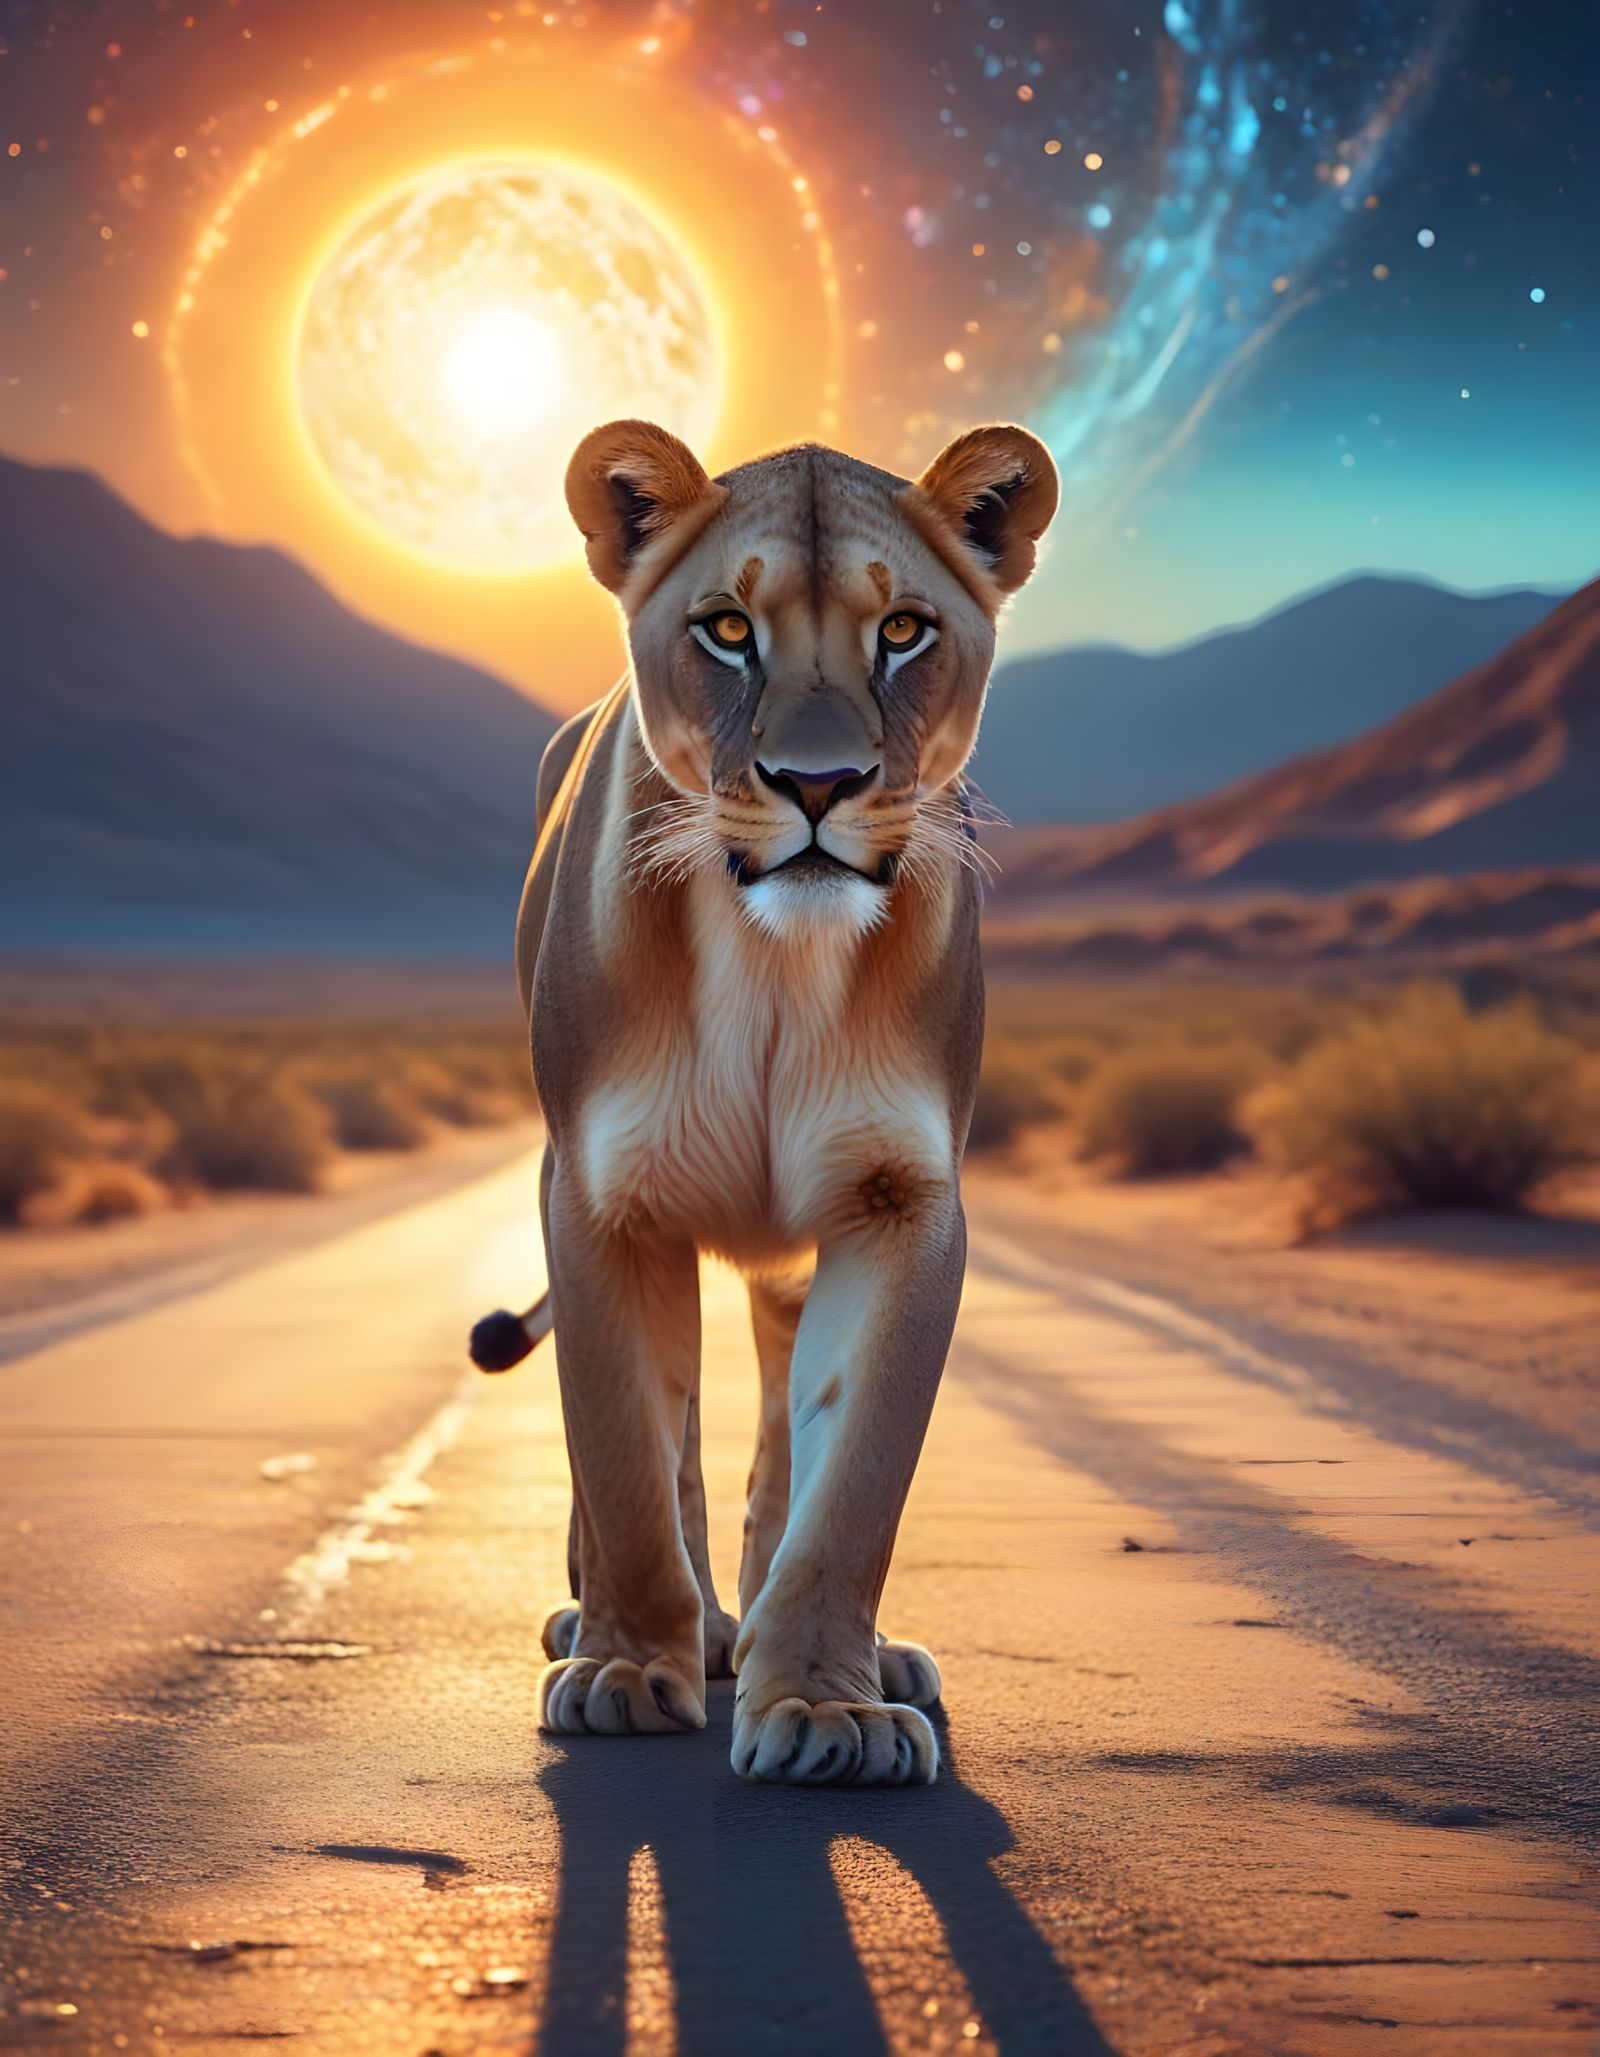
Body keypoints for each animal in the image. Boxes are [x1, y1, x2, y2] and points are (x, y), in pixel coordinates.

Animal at [469, 418, 1058, 1784]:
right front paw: (629, 1668)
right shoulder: (597, 1192)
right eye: (728, 629)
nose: (819, 782)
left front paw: (828, 1706)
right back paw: (649, 1628)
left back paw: (850, 1654)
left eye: (902, 630)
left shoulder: (899, 1199)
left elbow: (850, 1481)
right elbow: (627, 1454)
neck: (778, 958)